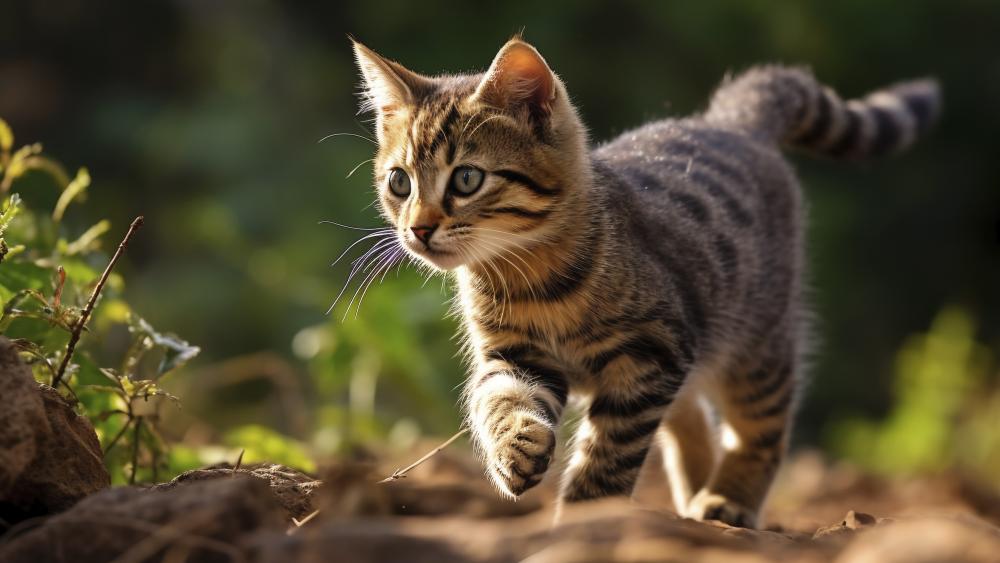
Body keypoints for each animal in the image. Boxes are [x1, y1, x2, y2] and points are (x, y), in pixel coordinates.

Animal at [350, 36, 936, 528]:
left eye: (467, 179)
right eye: (399, 183)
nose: (418, 229)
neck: (527, 274)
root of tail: (730, 121)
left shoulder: (651, 357)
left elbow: (607, 459)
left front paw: (583, 524)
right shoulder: (515, 355)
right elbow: (498, 398)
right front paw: (514, 448)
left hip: (757, 342)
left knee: (760, 426)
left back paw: (727, 500)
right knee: (693, 414)